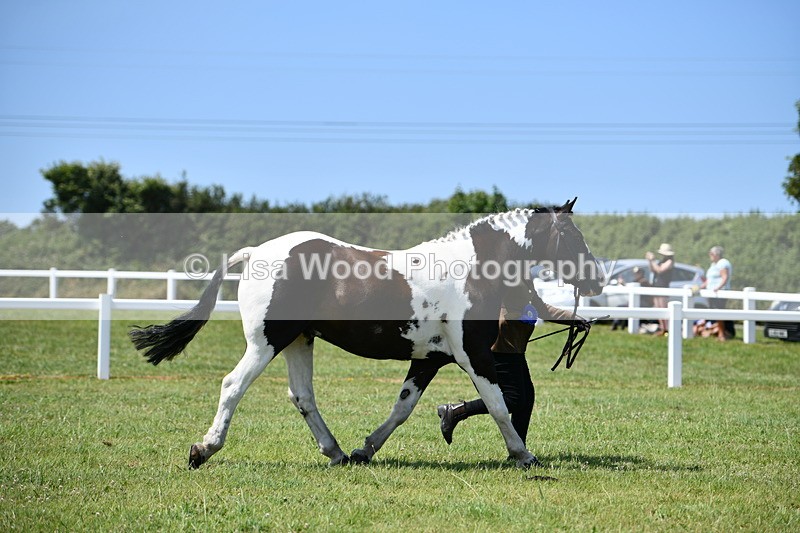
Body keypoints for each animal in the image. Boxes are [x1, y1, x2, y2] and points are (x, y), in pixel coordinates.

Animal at [129, 198, 602, 469]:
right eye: (572, 234)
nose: (596, 279)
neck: (471, 270)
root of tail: (255, 252)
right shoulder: (473, 354)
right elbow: (500, 404)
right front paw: (523, 454)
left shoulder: (430, 358)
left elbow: (403, 408)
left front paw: (366, 449)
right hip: (267, 342)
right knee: (233, 385)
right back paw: (203, 450)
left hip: (299, 340)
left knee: (302, 396)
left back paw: (336, 453)